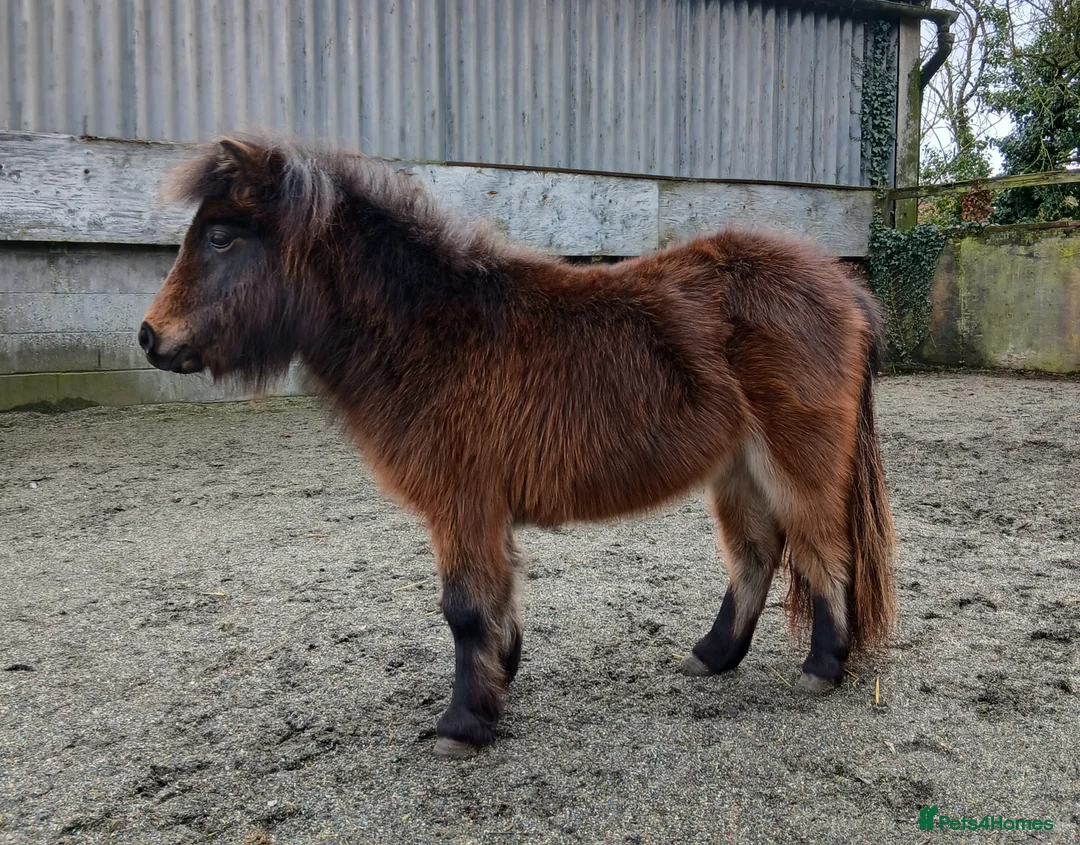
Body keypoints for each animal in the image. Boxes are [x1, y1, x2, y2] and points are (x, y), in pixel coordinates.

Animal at [139, 135, 897, 759]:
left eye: (222, 237)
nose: (149, 337)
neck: (428, 329)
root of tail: (845, 287)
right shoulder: (480, 508)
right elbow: (496, 601)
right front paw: (501, 675)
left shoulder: (462, 503)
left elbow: (465, 609)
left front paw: (463, 724)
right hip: (737, 465)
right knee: (758, 553)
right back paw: (713, 655)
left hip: (796, 458)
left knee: (824, 550)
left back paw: (822, 668)